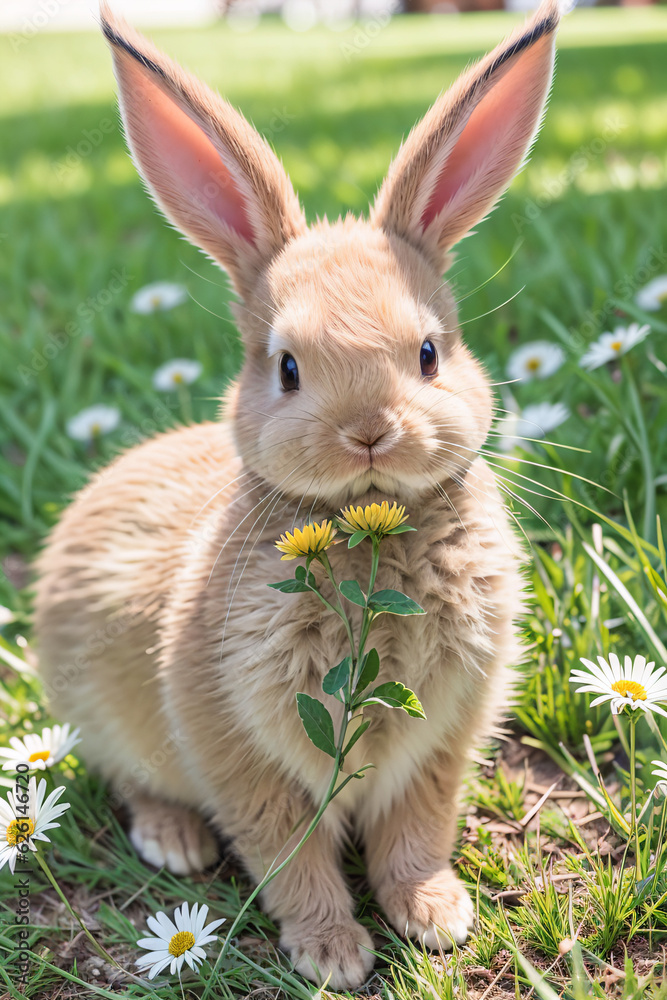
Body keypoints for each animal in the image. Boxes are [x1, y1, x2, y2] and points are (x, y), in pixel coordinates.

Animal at [34, 1, 559, 989]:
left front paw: (434, 916)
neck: (364, 538)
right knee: (129, 780)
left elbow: (414, 833)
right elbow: (290, 851)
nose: (369, 432)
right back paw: (174, 842)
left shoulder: (438, 743)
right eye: (285, 368)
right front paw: (332, 953)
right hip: (100, 712)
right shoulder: (236, 744)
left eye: (428, 353)